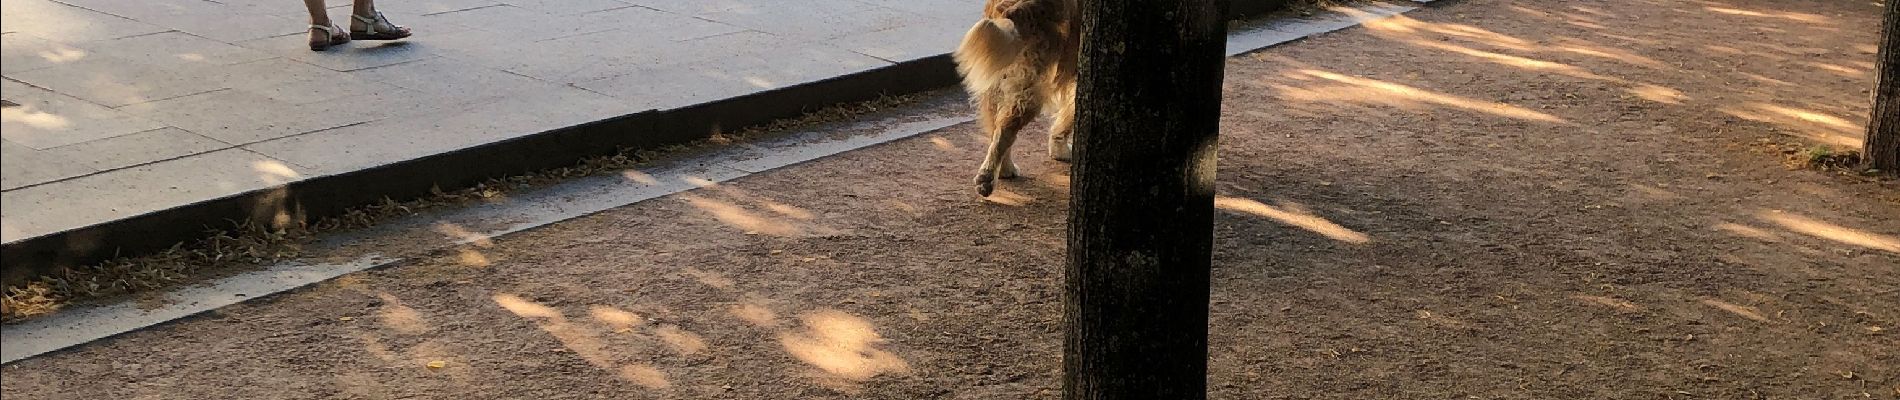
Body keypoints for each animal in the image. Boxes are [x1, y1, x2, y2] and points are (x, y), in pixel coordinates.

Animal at [950, 0, 1086, 196]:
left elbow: (1070, 113)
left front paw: (1058, 148)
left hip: (1000, 79)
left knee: (997, 124)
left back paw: (1003, 170)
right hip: (1030, 79)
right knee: (1005, 130)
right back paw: (987, 179)